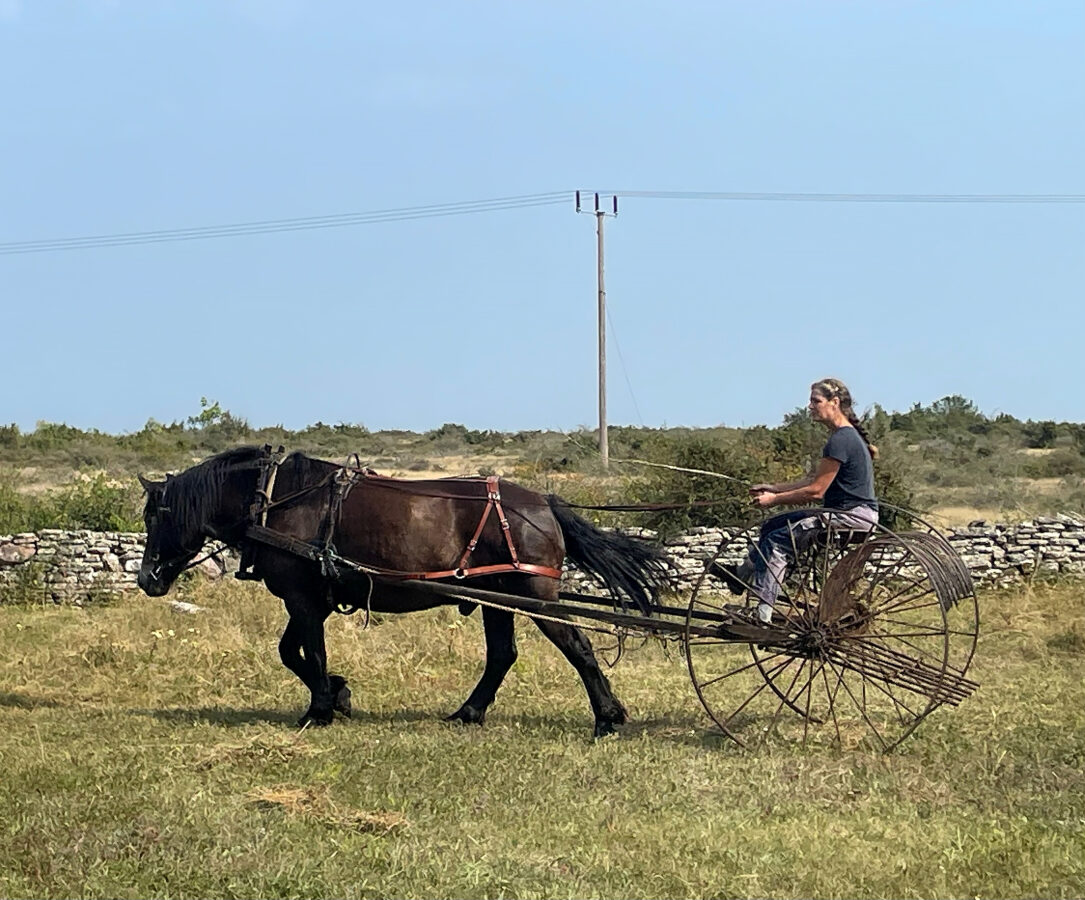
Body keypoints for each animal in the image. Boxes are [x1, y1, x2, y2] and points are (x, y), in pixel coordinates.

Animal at [137, 445, 668, 733]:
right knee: (502, 655)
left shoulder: (303, 600)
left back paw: (606, 717)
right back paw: (469, 712)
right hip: (497, 597)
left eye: (154, 516)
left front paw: (321, 709)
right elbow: (292, 653)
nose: (146, 579)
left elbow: (310, 652)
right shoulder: (310, 600)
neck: (274, 500)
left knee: (578, 648)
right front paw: (340, 694)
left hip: (534, 595)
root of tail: (544, 502)